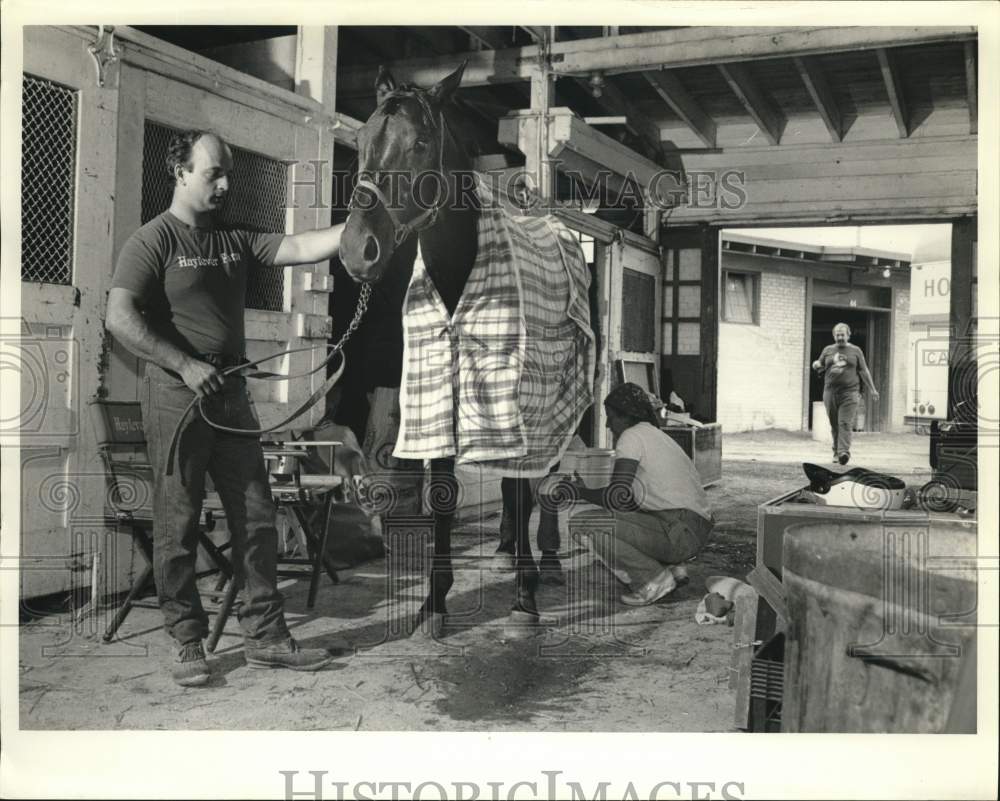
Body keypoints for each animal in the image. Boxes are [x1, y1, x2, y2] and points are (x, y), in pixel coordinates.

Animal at [344, 61, 592, 636]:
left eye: (420, 143)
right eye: (362, 140)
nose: (355, 251)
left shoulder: (514, 397)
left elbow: (523, 487)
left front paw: (524, 600)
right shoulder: (435, 393)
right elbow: (443, 495)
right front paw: (434, 603)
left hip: (551, 397)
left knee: (539, 480)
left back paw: (543, 563)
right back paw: (505, 550)